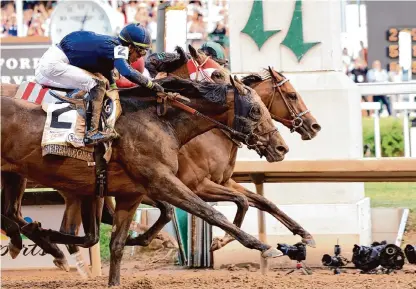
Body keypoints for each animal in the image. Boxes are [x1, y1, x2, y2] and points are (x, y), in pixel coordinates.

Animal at [1, 75, 288, 284]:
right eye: (255, 110)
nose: (281, 147)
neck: (161, 123)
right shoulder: (164, 182)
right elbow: (211, 213)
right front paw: (262, 246)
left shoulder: (131, 194)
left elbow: (116, 244)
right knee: (15, 217)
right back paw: (32, 240)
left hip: (18, 177)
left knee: (15, 213)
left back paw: (37, 240)